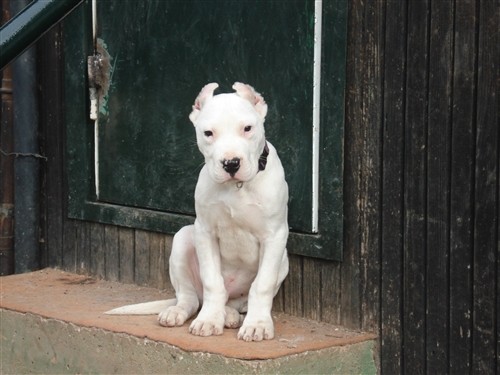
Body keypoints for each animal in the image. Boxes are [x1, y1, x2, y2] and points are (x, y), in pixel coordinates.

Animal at [108, 83, 290, 344]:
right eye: (208, 133)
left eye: (247, 128)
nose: (231, 163)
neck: (236, 187)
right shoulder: (205, 232)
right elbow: (212, 281)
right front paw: (209, 320)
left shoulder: (274, 235)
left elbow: (262, 285)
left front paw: (257, 324)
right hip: (183, 239)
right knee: (191, 298)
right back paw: (183, 312)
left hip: (283, 259)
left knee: (239, 300)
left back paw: (232, 315)